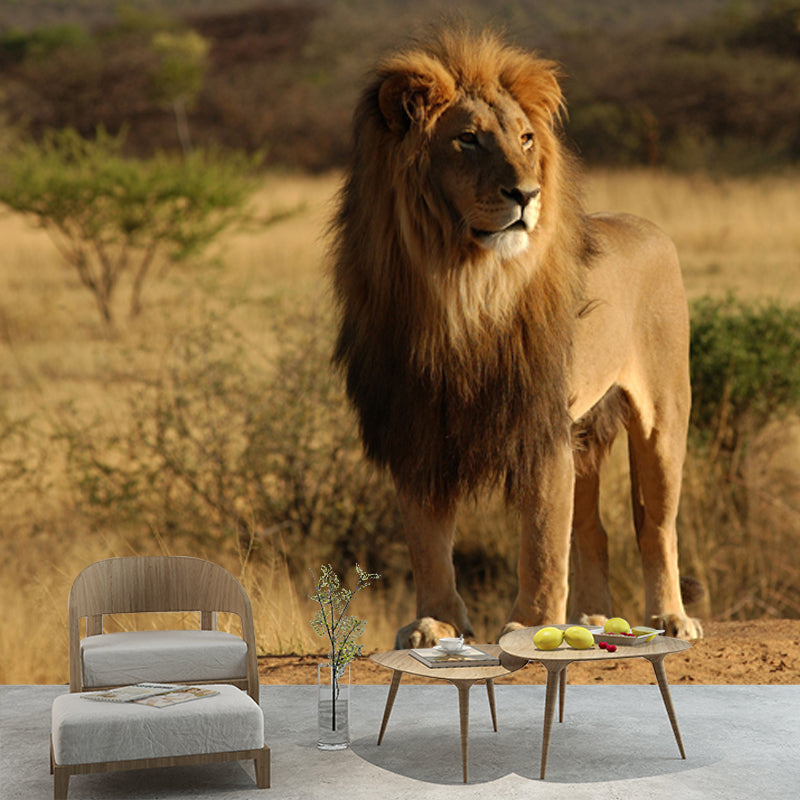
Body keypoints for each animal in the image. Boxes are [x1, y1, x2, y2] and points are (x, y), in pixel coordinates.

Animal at [330, 29, 703, 647]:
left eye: (526, 139)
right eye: (468, 140)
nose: (526, 194)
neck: (462, 287)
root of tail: (647, 226)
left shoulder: (539, 423)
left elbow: (543, 542)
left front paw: (532, 627)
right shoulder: (417, 425)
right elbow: (427, 541)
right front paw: (436, 623)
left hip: (663, 418)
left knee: (656, 525)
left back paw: (670, 618)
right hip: (586, 434)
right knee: (595, 531)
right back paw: (593, 619)